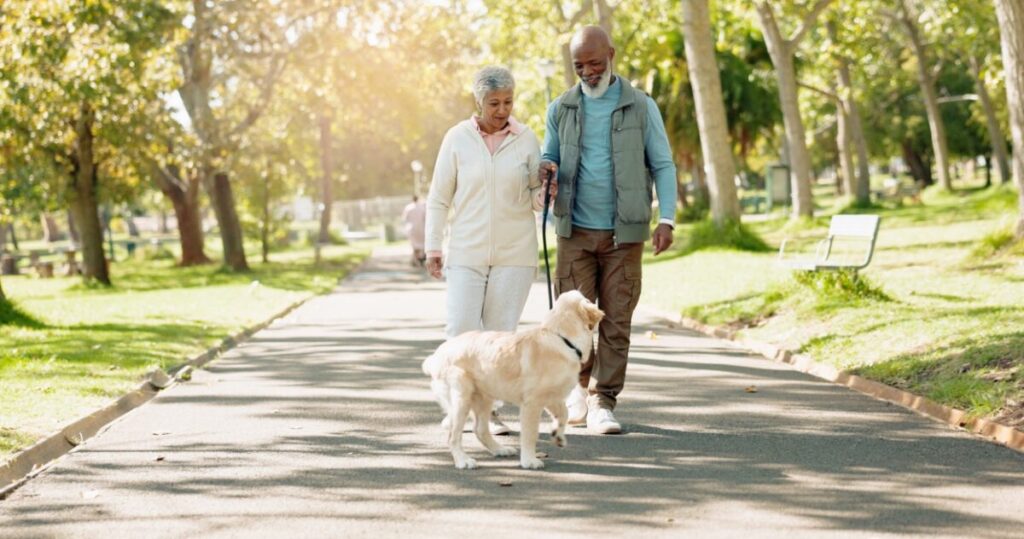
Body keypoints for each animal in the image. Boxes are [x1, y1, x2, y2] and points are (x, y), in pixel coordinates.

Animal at [421, 288, 602, 471]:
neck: (562, 339)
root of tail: (435, 356)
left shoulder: (553, 397)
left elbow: (564, 414)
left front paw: (558, 435)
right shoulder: (532, 403)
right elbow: (530, 434)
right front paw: (529, 460)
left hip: (484, 397)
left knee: (480, 429)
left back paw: (500, 449)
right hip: (462, 398)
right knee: (453, 435)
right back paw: (463, 460)